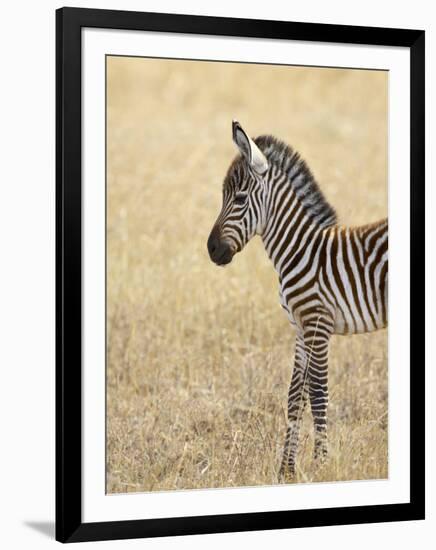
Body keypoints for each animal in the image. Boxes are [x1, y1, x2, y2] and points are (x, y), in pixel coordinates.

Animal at [208, 119, 388, 478]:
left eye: (240, 198)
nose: (211, 249)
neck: (299, 248)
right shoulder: (301, 329)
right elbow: (295, 396)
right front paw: (286, 470)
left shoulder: (318, 323)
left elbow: (318, 395)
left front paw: (321, 465)